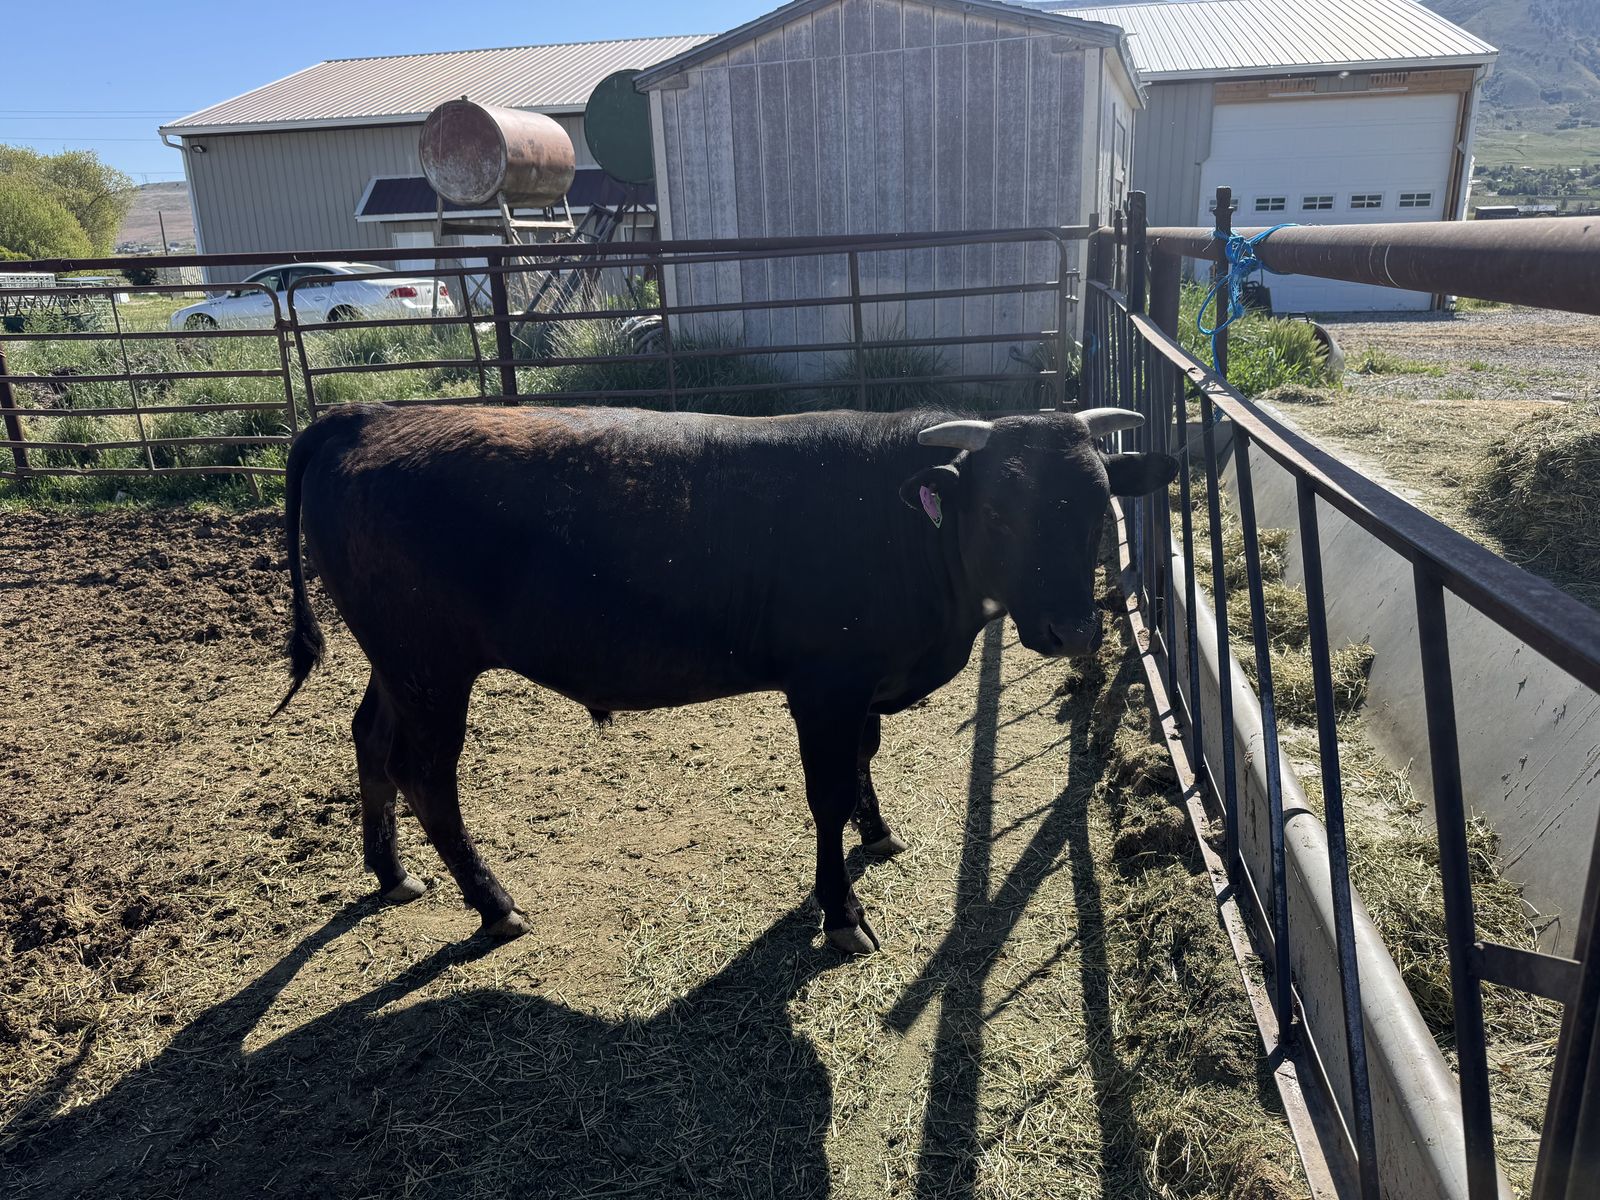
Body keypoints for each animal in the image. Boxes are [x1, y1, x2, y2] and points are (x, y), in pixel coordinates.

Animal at [276, 402, 1178, 953]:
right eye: (997, 510)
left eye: (1099, 499)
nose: (1072, 629)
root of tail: (368, 416)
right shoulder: (825, 685)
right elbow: (827, 794)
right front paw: (841, 912)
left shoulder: (863, 686)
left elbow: (863, 762)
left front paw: (877, 833)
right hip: (430, 665)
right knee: (426, 774)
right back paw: (494, 903)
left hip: (398, 664)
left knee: (370, 741)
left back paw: (390, 873)